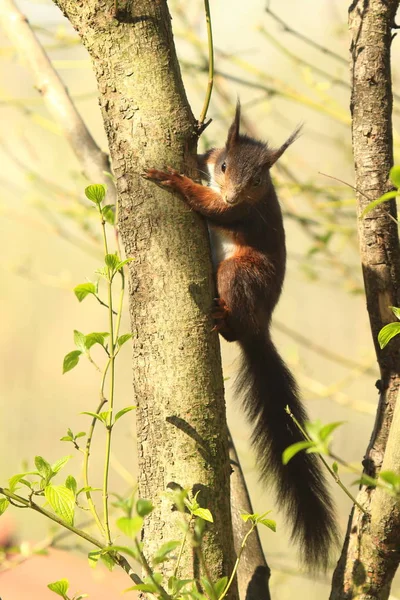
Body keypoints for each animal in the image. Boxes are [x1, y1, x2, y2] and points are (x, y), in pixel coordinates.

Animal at [145, 103, 340, 572]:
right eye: (224, 165)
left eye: (258, 181)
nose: (234, 194)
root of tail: (259, 325)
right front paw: (194, 159)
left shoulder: (244, 213)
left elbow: (214, 211)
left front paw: (172, 179)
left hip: (239, 273)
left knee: (234, 322)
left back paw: (224, 320)